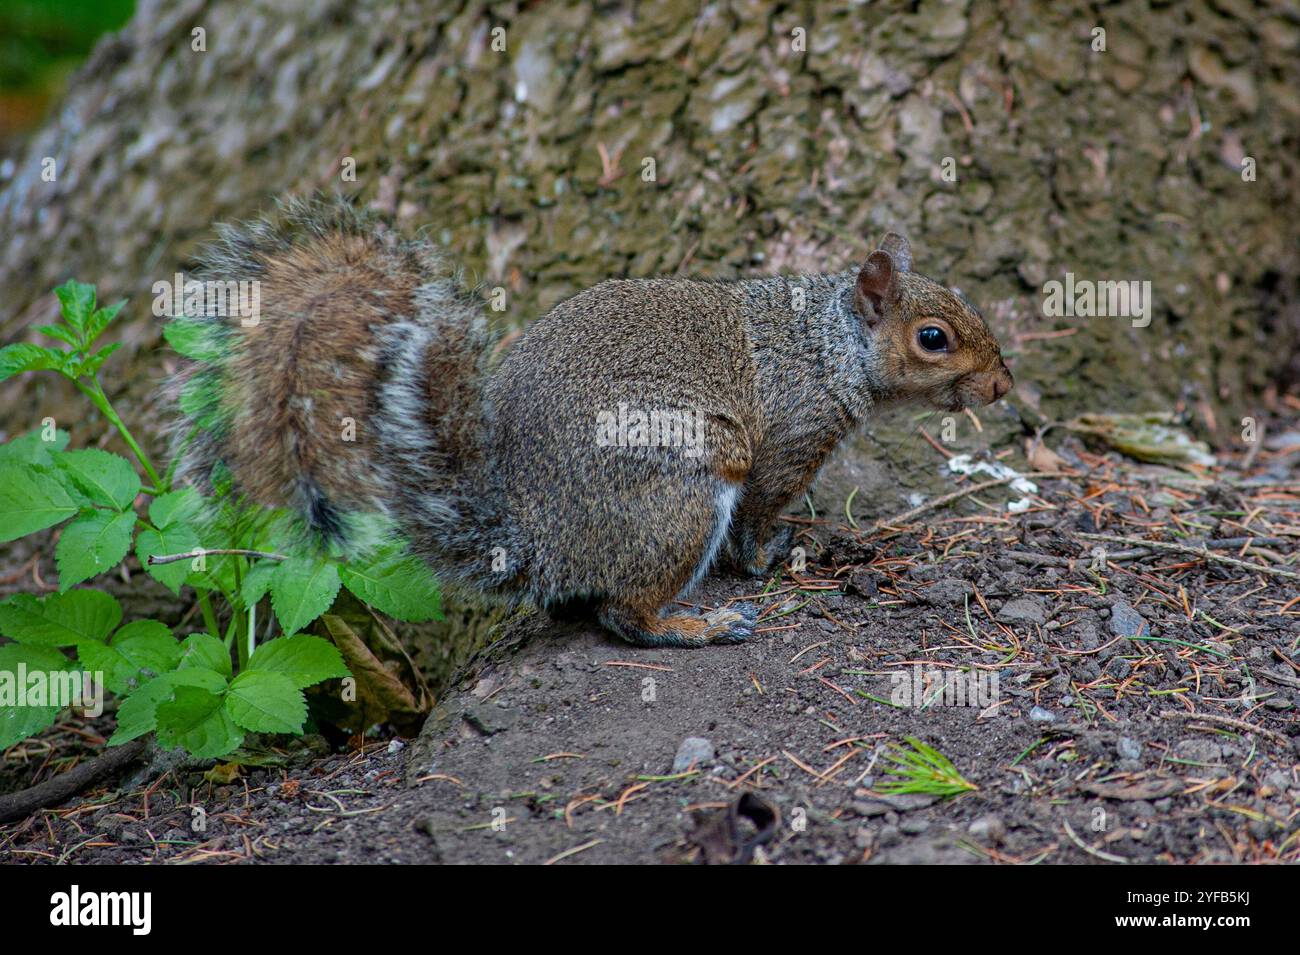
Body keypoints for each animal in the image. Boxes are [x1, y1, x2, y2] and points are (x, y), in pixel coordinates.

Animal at [172, 196, 1013, 648]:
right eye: (933, 338)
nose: (1003, 385)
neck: (826, 344)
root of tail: (534, 540)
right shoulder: (790, 436)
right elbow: (761, 512)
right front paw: (770, 553)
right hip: (678, 493)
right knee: (622, 612)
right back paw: (696, 626)